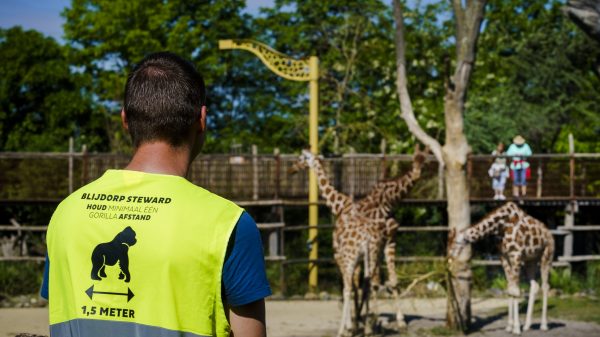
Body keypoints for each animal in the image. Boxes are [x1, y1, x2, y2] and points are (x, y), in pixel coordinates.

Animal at [292, 146, 426, 334]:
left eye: (300, 158)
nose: (293, 168)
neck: (341, 205)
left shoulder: (342, 253)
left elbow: (354, 285)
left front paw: (355, 322)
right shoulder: (381, 244)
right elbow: (365, 283)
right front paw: (361, 319)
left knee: (368, 282)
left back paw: (368, 321)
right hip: (384, 245)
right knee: (381, 280)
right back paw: (388, 321)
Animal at [450, 201, 552, 334]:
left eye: (455, 244)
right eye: (448, 243)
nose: (449, 257)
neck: (501, 226)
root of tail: (548, 232)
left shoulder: (516, 255)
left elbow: (516, 291)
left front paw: (516, 329)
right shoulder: (504, 257)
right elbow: (510, 289)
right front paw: (510, 326)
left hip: (547, 255)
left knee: (545, 286)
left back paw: (544, 325)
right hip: (531, 260)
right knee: (534, 285)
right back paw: (527, 326)